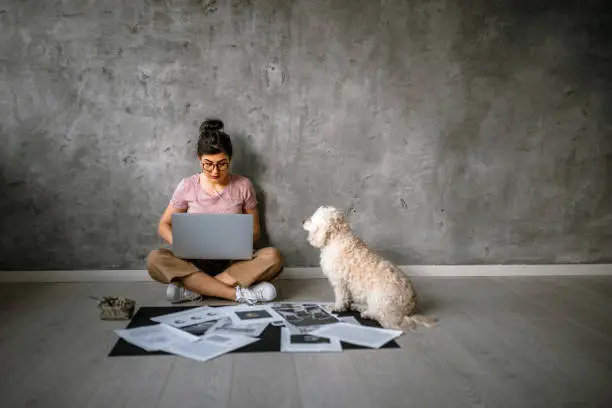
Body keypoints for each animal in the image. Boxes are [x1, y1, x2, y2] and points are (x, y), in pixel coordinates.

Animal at [302, 206, 436, 330]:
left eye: (312, 218)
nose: (303, 221)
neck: (337, 238)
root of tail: (410, 307)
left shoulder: (339, 282)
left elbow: (340, 298)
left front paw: (336, 307)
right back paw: (358, 306)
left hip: (378, 298)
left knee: (380, 315)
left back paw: (366, 313)